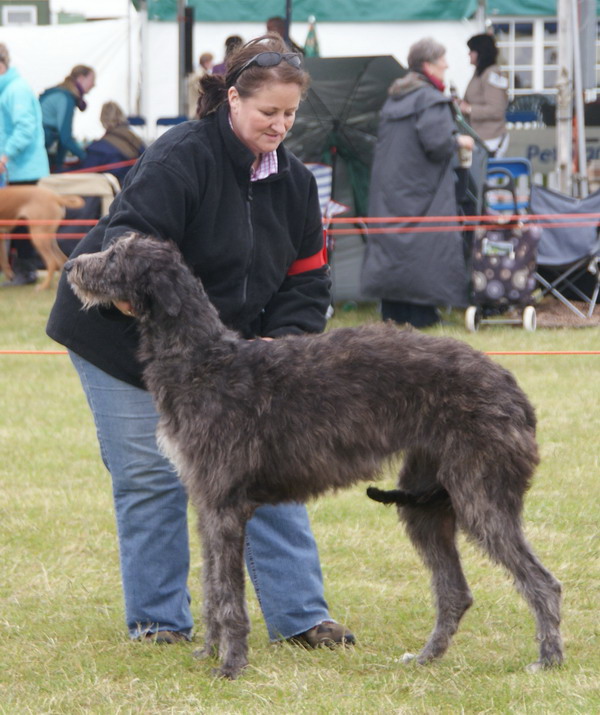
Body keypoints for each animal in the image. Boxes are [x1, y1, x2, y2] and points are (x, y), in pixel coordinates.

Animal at [64, 236, 564, 684]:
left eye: (116, 255)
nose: (71, 266)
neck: (204, 361)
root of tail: (512, 387)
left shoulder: (224, 507)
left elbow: (229, 597)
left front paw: (230, 666)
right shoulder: (206, 504)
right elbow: (211, 589)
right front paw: (208, 652)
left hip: (481, 494)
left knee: (542, 582)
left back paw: (548, 659)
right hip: (423, 503)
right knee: (455, 592)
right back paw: (425, 659)